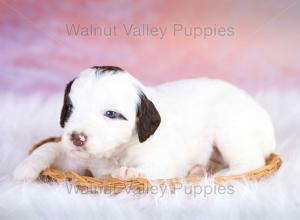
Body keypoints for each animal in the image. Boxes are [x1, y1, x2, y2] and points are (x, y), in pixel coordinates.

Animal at [14, 66, 276, 180]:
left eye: (111, 114)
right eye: (70, 108)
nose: (77, 138)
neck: (114, 152)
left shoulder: (161, 162)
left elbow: (148, 170)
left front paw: (128, 172)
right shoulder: (75, 161)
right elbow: (50, 147)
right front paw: (25, 168)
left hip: (231, 131)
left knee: (251, 161)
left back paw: (220, 174)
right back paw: (200, 169)